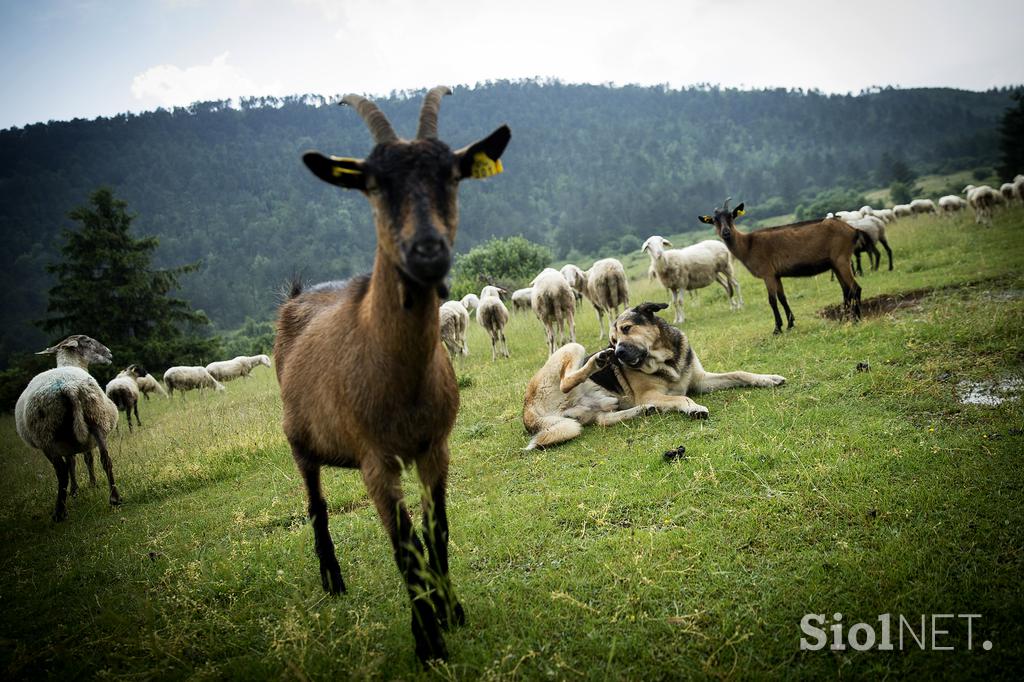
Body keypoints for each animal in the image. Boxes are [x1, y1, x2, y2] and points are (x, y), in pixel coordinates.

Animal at [14, 333, 120, 520]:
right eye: (89, 340)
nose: (109, 353)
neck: (71, 364)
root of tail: (68, 386)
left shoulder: (67, 444)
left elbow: (73, 462)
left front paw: (76, 490)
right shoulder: (78, 441)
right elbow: (86, 459)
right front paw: (88, 486)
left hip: (46, 435)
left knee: (61, 472)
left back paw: (60, 512)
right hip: (96, 418)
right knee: (106, 459)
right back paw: (114, 498)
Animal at [524, 301, 786, 448]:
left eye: (627, 329)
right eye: (613, 341)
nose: (616, 354)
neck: (666, 360)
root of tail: (528, 412)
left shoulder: (700, 381)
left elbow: (739, 373)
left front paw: (768, 378)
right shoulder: (652, 393)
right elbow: (682, 397)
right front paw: (694, 408)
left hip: (595, 408)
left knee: (603, 420)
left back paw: (642, 411)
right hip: (572, 348)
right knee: (567, 380)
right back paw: (597, 361)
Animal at [700, 197, 860, 333]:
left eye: (731, 216)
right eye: (714, 220)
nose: (726, 232)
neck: (748, 245)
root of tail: (852, 230)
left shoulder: (768, 274)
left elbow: (772, 300)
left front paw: (777, 328)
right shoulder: (776, 275)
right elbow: (782, 298)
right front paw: (790, 324)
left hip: (841, 259)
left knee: (855, 288)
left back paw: (857, 318)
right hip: (835, 263)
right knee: (846, 289)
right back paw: (845, 318)